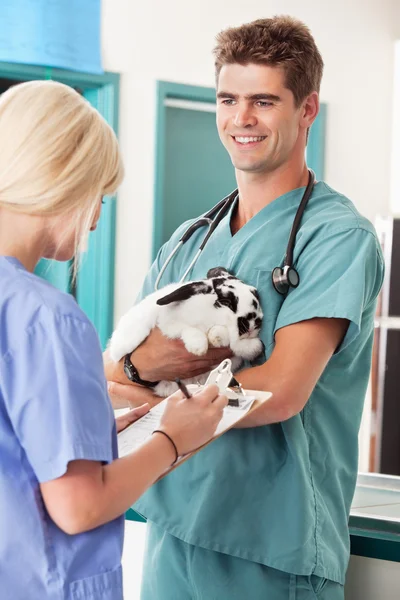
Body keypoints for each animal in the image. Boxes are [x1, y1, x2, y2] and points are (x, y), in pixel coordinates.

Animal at [108, 268, 264, 398]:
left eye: (256, 294)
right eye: (225, 302)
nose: (254, 323)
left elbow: (238, 346)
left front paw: (254, 346)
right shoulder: (169, 325)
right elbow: (189, 330)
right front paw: (199, 348)